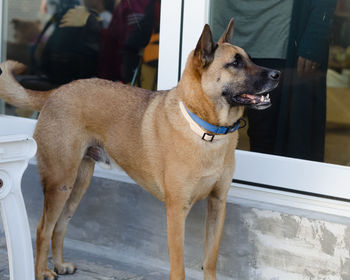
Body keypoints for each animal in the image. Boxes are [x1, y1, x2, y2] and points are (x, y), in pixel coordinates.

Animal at [0, 20, 278, 280]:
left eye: (250, 58)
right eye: (235, 63)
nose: (277, 74)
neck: (206, 130)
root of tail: (55, 91)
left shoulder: (218, 205)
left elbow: (210, 261)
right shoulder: (177, 211)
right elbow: (178, 267)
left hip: (78, 184)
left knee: (59, 226)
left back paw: (59, 264)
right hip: (60, 184)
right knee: (43, 229)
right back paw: (42, 271)